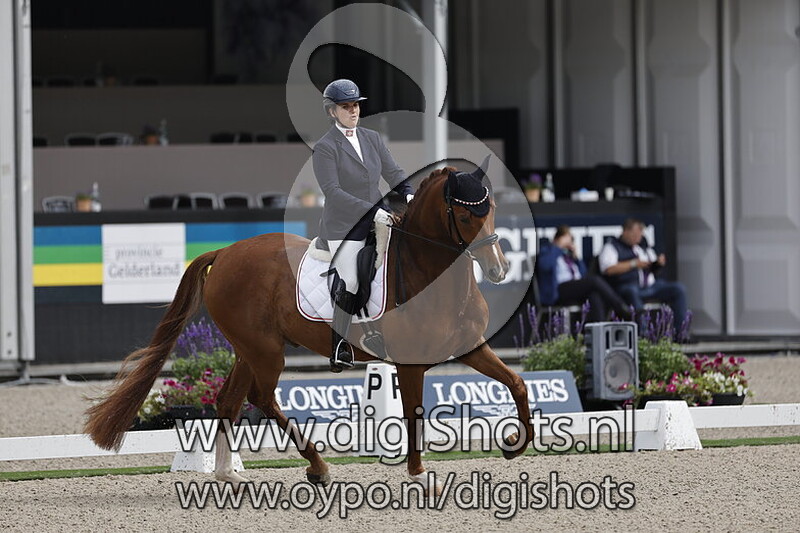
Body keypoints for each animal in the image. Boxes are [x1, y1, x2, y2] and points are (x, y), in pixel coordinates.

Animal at [84, 163, 535, 494]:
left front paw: (515, 445)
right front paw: (420, 475)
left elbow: (516, 382)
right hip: (266, 350)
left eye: (493, 209)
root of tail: (226, 252)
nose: (499, 269)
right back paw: (317, 467)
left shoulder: (471, 347)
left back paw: (229, 474)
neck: (428, 270)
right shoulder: (410, 364)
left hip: (249, 349)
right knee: (260, 398)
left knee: (229, 400)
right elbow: (413, 414)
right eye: (465, 214)